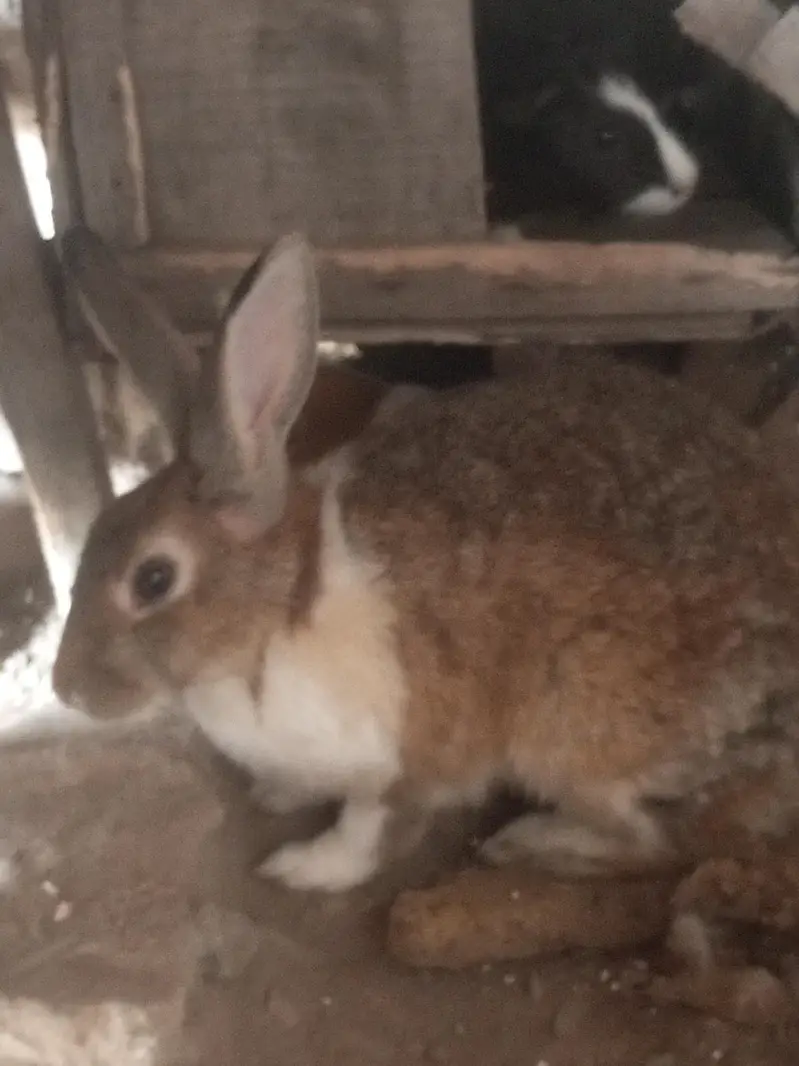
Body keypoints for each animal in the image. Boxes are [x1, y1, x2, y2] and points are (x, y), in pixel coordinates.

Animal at [53, 226, 799, 893]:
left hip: (576, 730)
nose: (67, 691)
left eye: (153, 579)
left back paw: (532, 843)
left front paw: (303, 868)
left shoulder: (404, 763)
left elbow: (368, 833)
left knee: (656, 840)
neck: (280, 606)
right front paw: (275, 795)